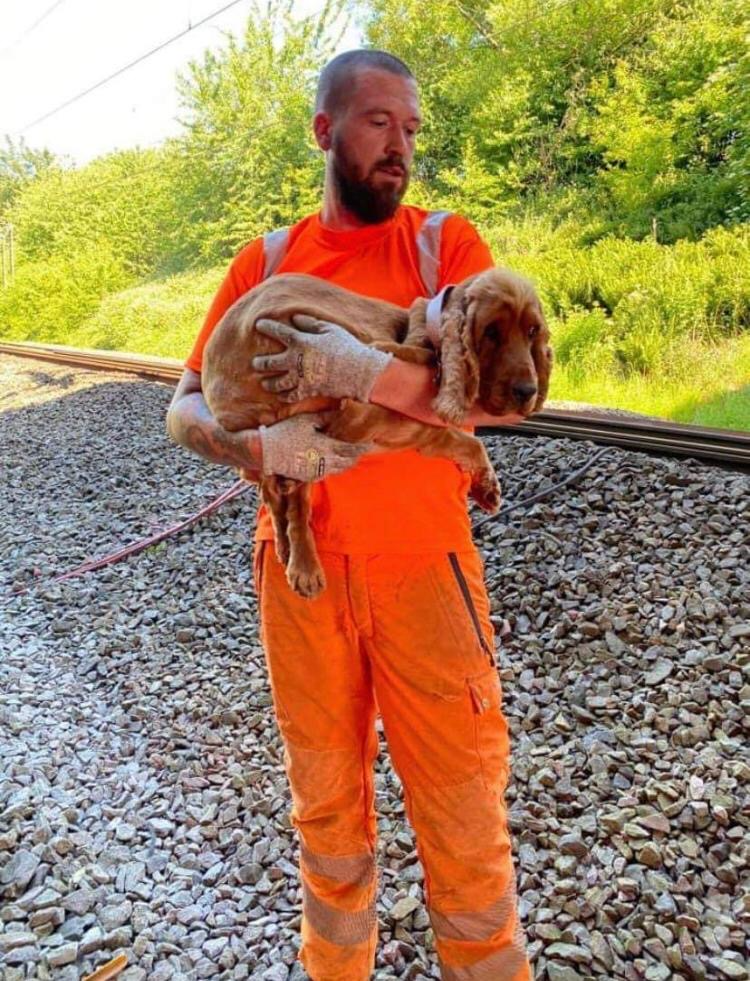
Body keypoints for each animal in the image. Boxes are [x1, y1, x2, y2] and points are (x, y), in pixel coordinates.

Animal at [203, 268, 556, 596]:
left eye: (532, 331)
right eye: (491, 331)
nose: (527, 391)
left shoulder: (425, 433)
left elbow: (468, 443)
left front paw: (487, 488)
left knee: (280, 492)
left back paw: (290, 549)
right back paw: (304, 566)